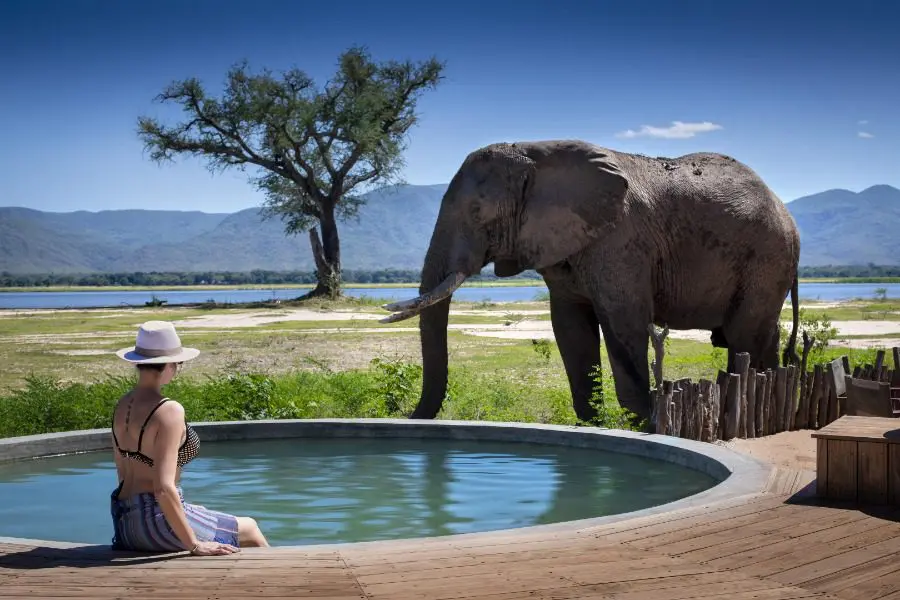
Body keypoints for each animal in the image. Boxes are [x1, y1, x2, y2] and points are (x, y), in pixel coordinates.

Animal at [380, 138, 800, 424]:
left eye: (477, 211)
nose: (408, 418)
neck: (535, 153)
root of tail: (787, 215)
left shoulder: (620, 242)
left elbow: (623, 323)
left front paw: (643, 427)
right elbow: (570, 330)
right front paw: (595, 424)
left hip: (767, 257)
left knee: (743, 336)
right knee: (761, 335)